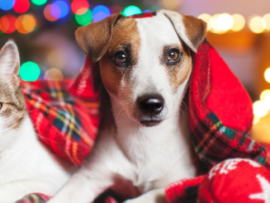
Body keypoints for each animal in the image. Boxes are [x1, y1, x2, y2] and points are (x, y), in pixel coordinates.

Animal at [48, 9, 207, 203]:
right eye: (121, 57)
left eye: (172, 54)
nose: (151, 103)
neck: (145, 138)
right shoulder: (88, 177)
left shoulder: (178, 183)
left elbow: (150, 195)